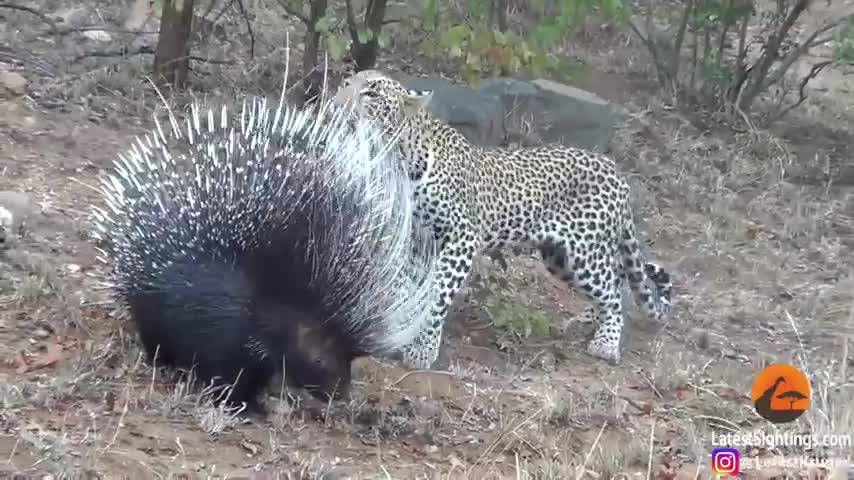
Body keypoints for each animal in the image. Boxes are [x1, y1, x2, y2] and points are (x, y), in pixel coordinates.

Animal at [334, 69, 676, 370]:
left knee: (614, 291)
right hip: (559, 257)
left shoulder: (461, 238)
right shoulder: (417, 241)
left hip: (585, 252)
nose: (338, 99)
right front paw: (405, 332)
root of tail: (616, 172)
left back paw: (606, 343)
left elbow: (436, 293)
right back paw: (588, 321)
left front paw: (423, 350)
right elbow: (412, 289)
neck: (400, 157)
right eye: (346, 83)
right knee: (613, 281)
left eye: (371, 94)